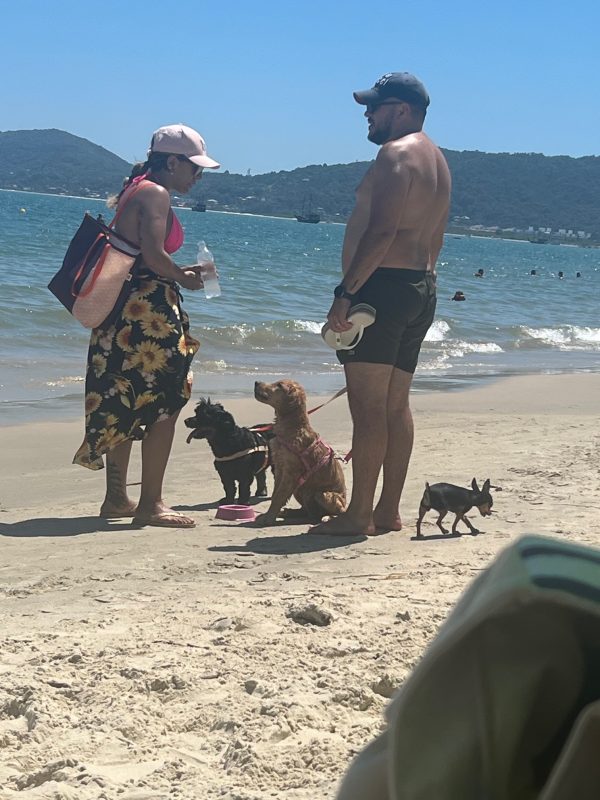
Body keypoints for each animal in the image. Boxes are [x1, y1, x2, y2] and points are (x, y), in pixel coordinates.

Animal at [253, 380, 346, 528]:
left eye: (279, 385)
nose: (256, 382)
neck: (292, 427)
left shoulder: (290, 472)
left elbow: (278, 496)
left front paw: (269, 518)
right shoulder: (279, 468)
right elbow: (275, 494)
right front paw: (270, 514)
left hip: (322, 494)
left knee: (339, 512)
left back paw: (326, 517)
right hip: (300, 489)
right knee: (306, 511)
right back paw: (289, 512)